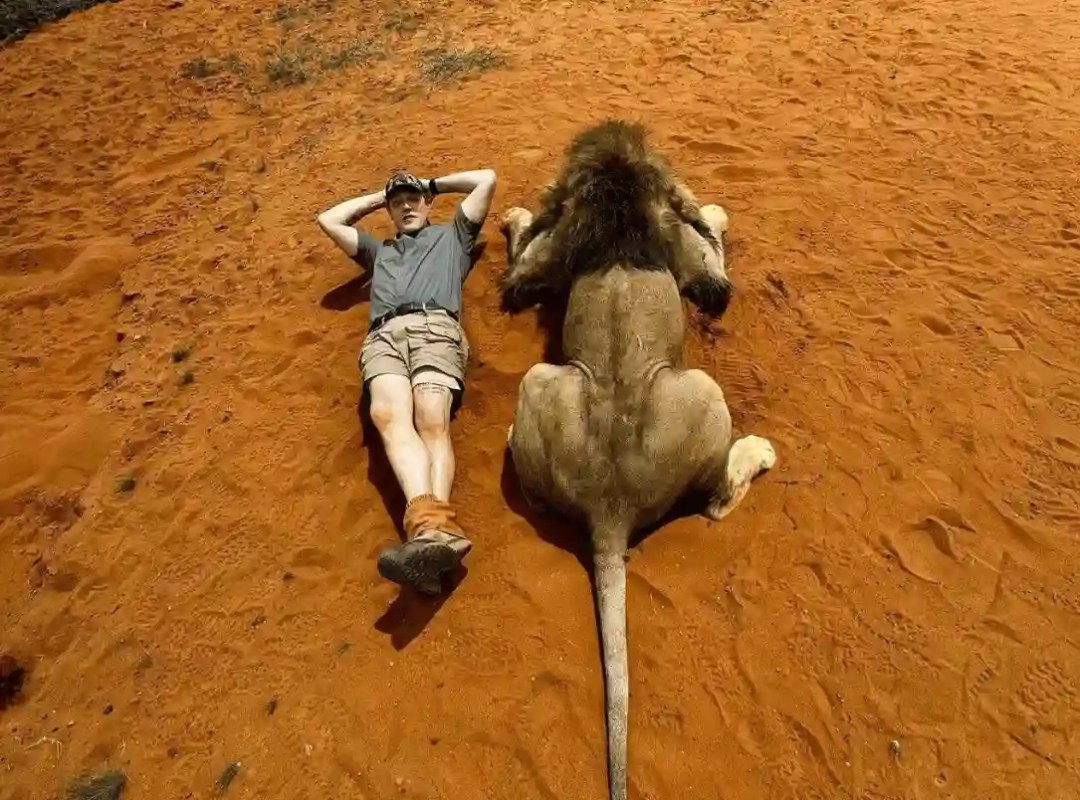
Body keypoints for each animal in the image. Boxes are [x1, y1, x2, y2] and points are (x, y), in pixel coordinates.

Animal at [498, 119, 777, 800]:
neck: (616, 180)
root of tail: (610, 505)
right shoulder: (702, 273)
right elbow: (711, 245)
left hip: (542, 380)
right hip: (700, 387)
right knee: (716, 501)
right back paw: (760, 450)